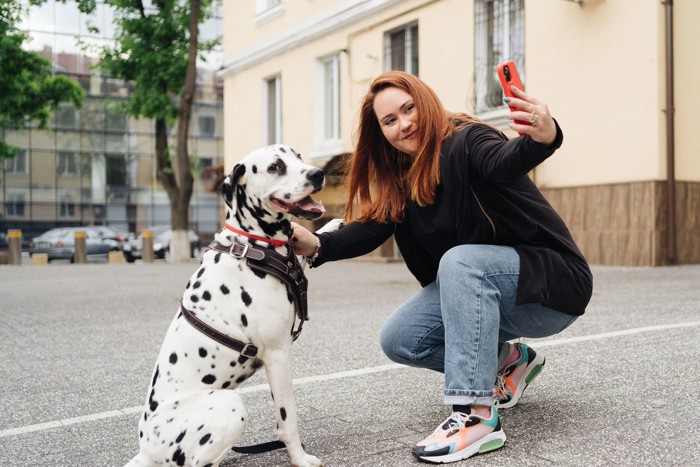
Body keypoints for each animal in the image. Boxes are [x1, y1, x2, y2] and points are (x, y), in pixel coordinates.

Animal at [126, 144, 330, 467]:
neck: (250, 246)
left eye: (298, 157)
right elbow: (288, 419)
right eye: (275, 167)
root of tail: (147, 451)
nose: (318, 173)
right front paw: (300, 458)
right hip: (228, 404)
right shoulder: (278, 354)